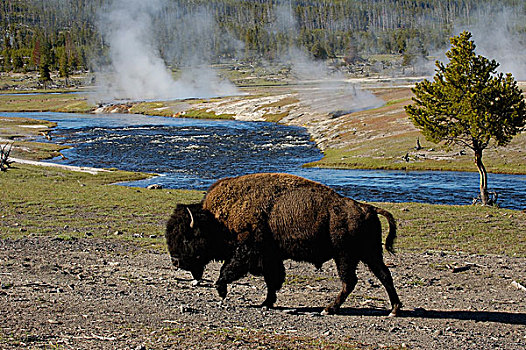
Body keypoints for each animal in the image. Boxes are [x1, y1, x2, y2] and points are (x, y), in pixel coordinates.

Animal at [166, 174, 404, 316]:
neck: (215, 220)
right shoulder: (271, 258)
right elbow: (273, 280)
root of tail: (368, 208)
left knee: (350, 281)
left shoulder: (248, 251)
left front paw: (221, 290)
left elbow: (230, 269)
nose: (175, 262)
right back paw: (394, 309)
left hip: (345, 255)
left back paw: (329, 309)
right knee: (384, 275)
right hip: (369, 253)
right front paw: (267, 302)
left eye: (186, 237)